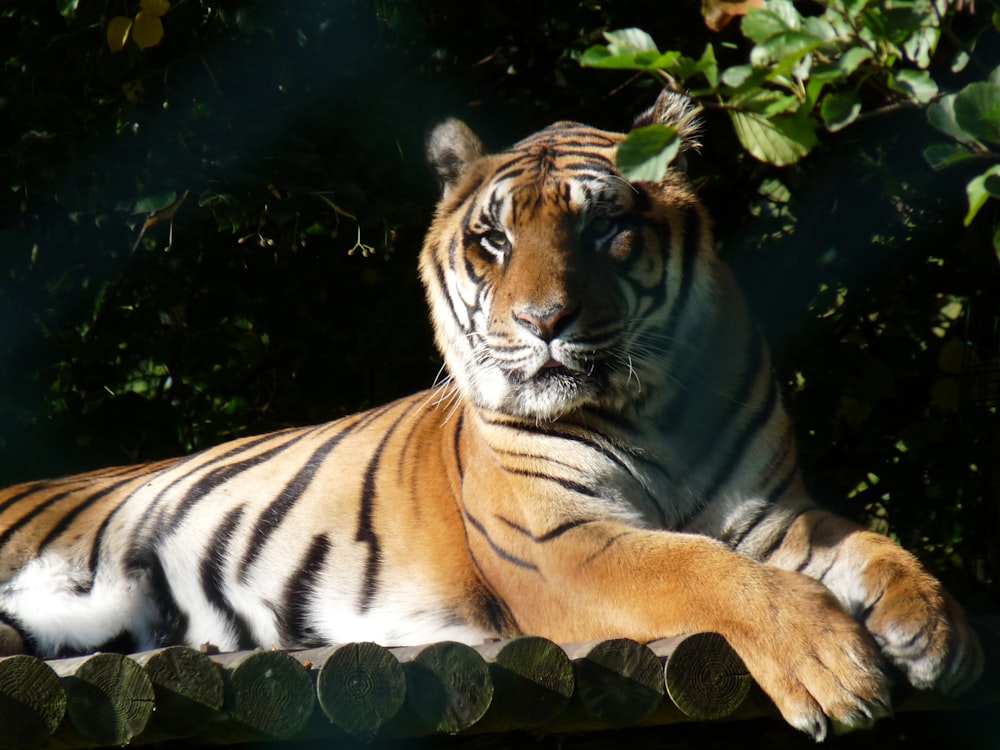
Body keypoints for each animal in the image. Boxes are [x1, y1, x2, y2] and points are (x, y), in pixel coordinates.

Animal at [0, 92, 984, 740]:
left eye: (604, 230)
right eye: (494, 240)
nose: (543, 323)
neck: (657, 408)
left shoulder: (771, 514)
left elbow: (869, 543)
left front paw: (936, 629)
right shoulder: (563, 544)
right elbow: (707, 571)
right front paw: (834, 670)